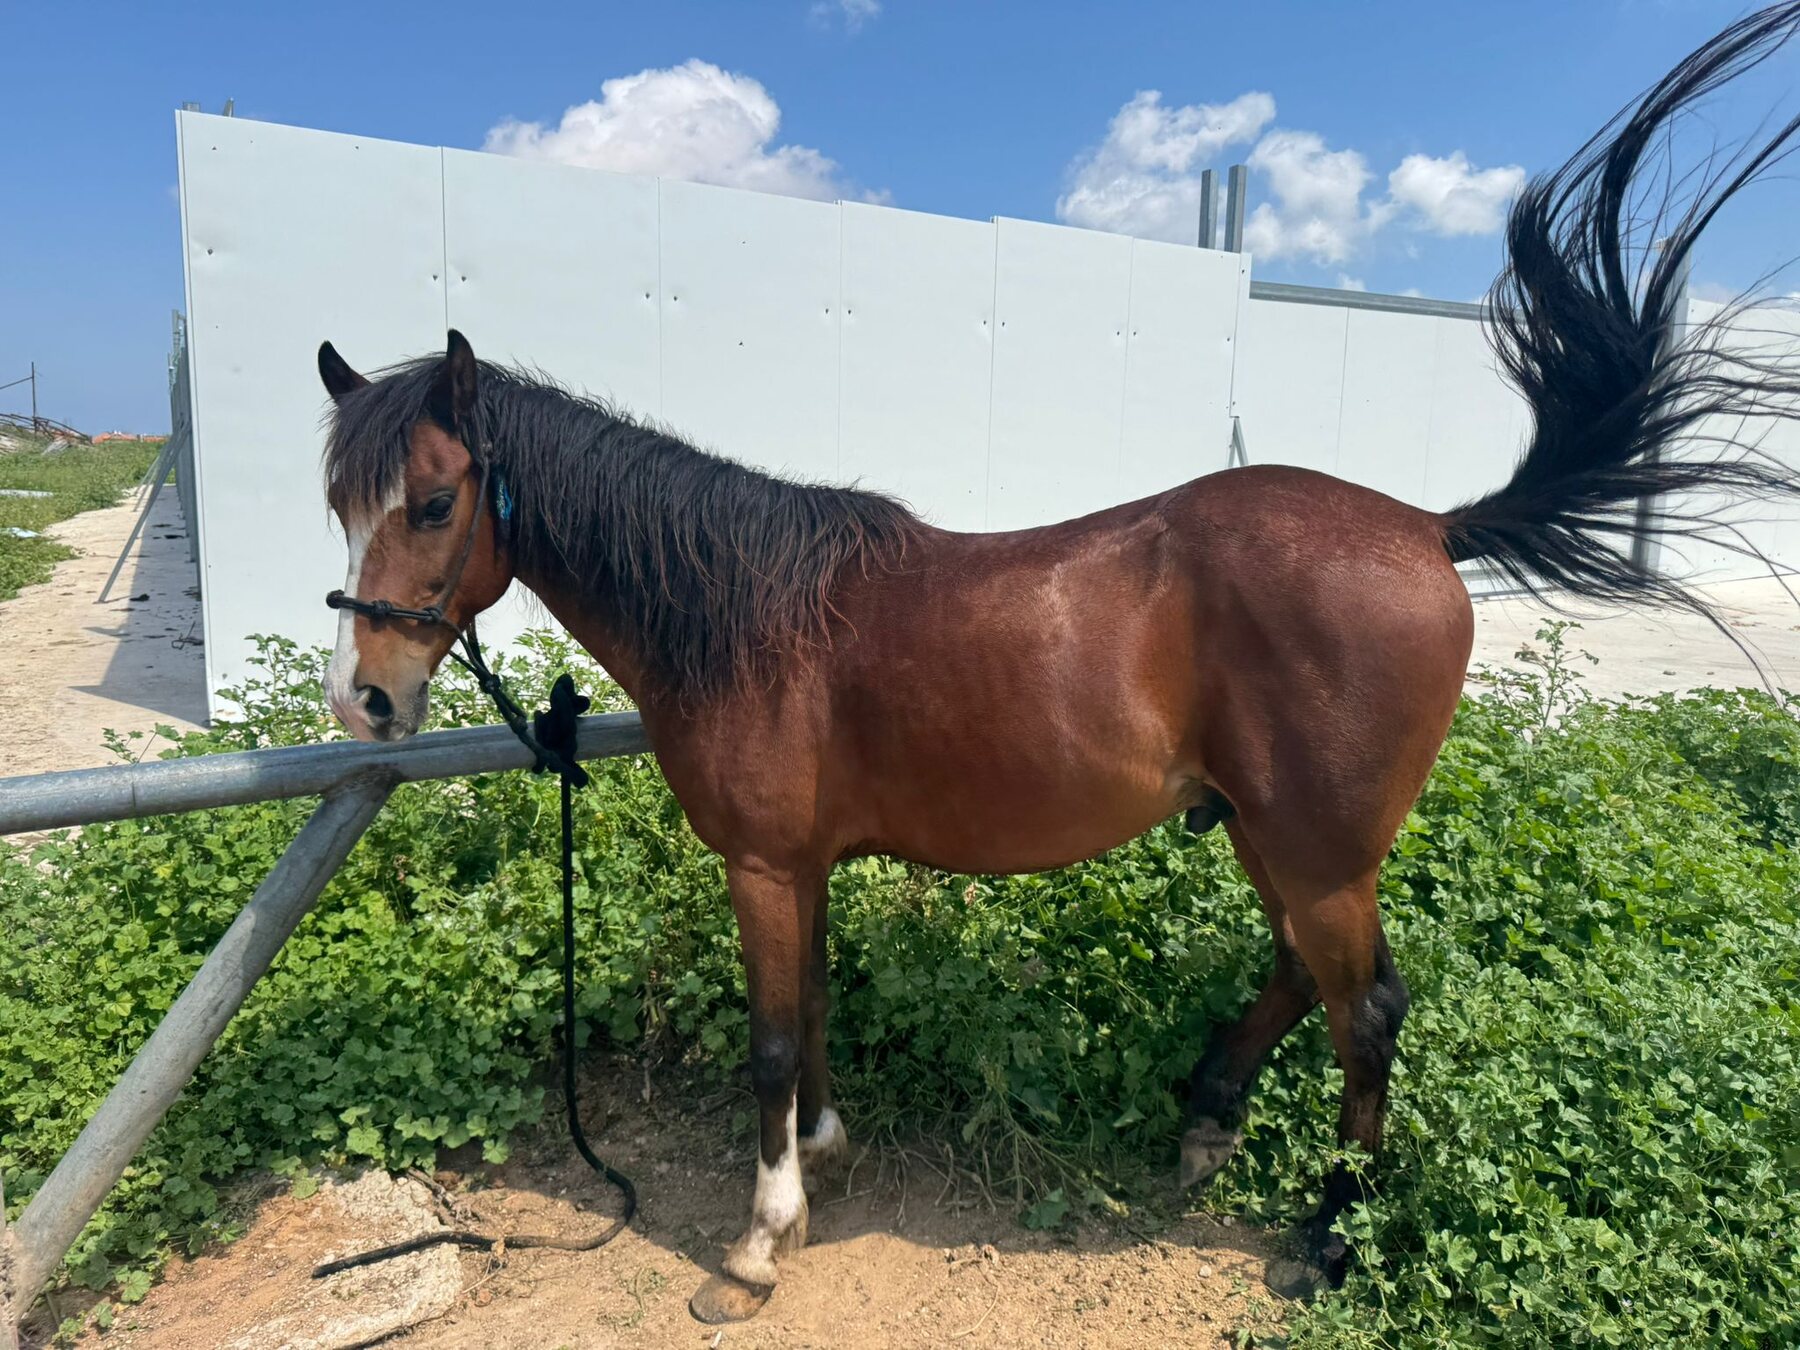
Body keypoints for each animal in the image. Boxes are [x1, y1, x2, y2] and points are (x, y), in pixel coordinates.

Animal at [312, 4, 1800, 1321]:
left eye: (433, 504)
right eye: (341, 501)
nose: (366, 697)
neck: (749, 612)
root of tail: (1427, 525)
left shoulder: (764, 864)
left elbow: (773, 1037)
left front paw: (759, 1237)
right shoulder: (809, 865)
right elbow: (820, 1014)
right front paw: (827, 1154)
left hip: (1319, 849)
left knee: (1365, 1010)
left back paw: (1331, 1233)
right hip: (1271, 829)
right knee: (1297, 973)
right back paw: (1207, 1119)